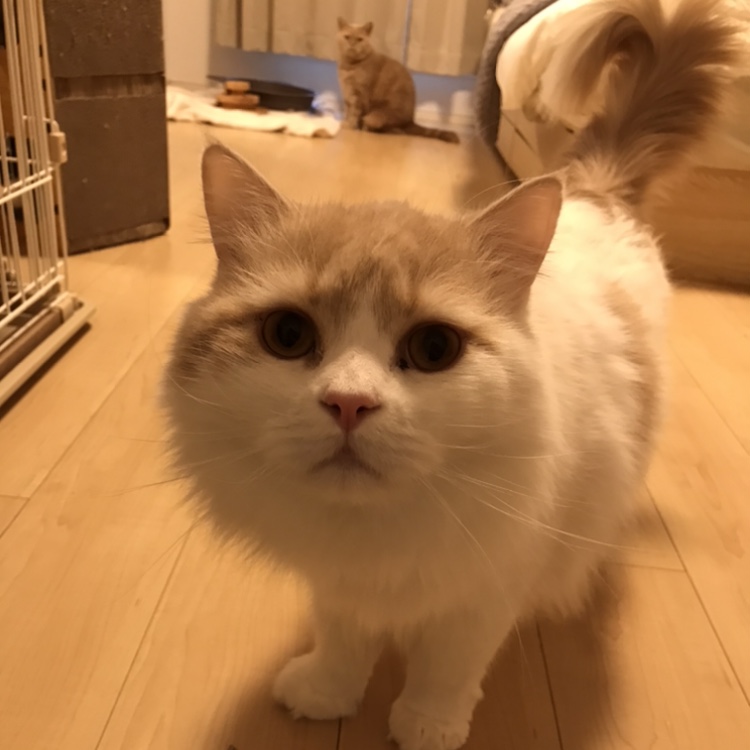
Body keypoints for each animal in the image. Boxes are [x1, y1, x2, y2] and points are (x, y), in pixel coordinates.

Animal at [162, 1, 736, 749]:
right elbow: (343, 642)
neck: (372, 535)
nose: (348, 404)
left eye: (434, 348)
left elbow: (449, 667)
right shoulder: (339, 585)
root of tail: (591, 193)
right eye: (288, 337)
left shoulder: (489, 588)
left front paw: (427, 725)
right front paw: (327, 693)